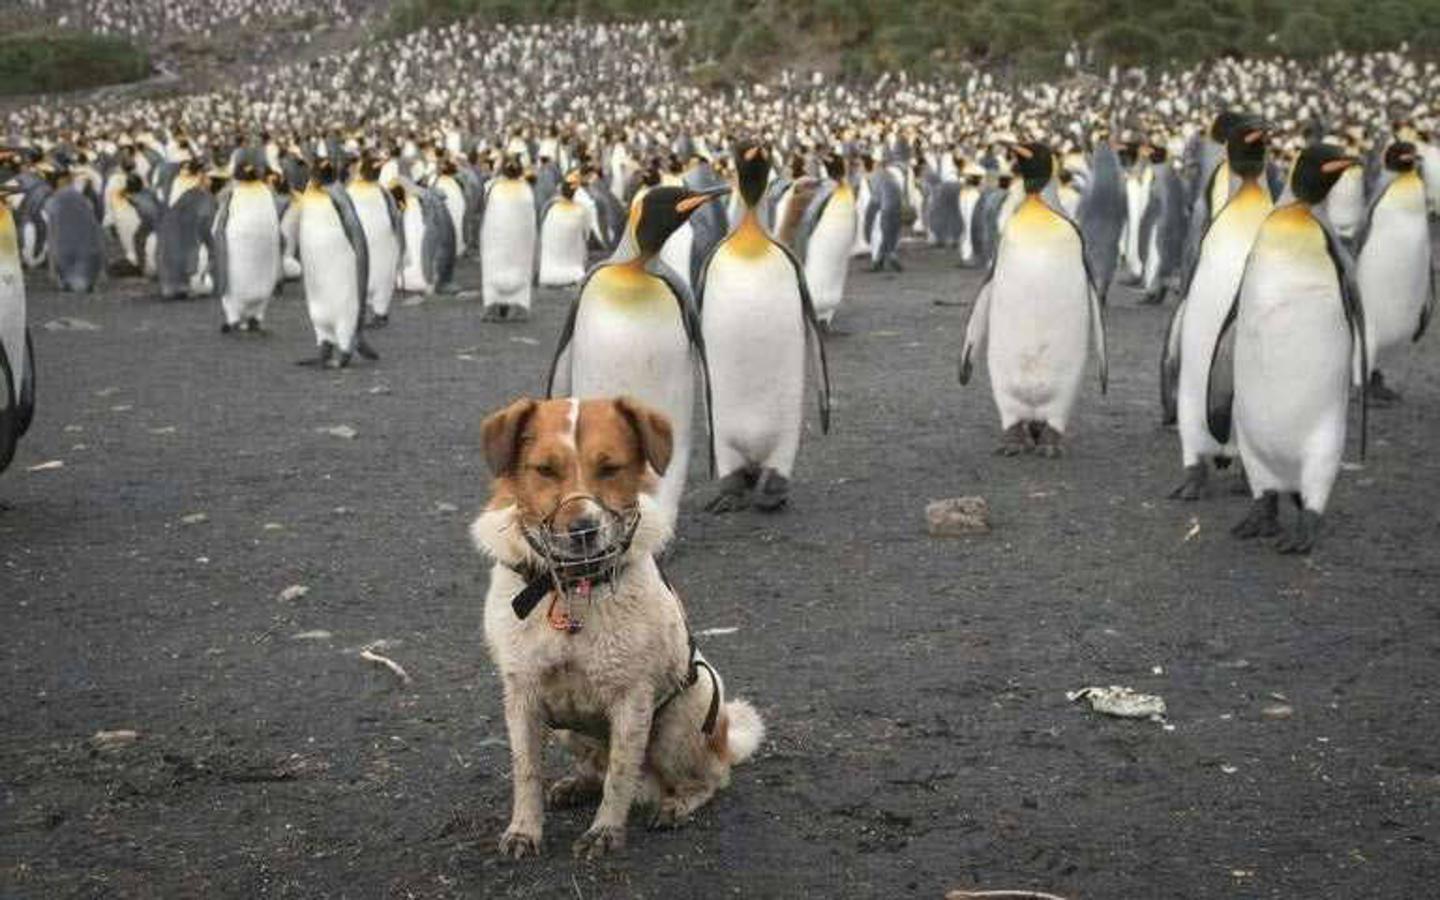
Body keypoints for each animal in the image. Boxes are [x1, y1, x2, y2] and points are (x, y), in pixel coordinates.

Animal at [469, 397, 766, 858]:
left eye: (610, 468)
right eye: (545, 469)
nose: (583, 530)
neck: (571, 587)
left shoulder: (632, 698)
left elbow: (620, 775)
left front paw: (604, 832)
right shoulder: (522, 695)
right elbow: (527, 773)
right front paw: (523, 831)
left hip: (685, 715)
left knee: (709, 777)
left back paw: (677, 803)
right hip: (569, 731)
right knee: (596, 765)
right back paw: (577, 785)